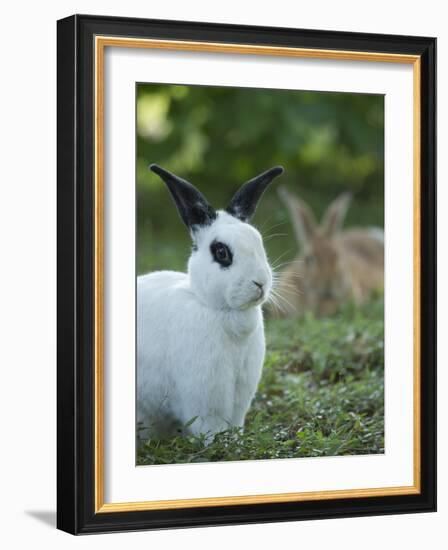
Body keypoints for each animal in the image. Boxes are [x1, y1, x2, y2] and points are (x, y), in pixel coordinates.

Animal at [136, 164, 284, 444]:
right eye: (221, 252)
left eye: (258, 242)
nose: (260, 282)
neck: (221, 311)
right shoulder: (205, 396)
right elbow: (210, 427)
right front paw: (220, 444)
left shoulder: (239, 397)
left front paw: (235, 441)